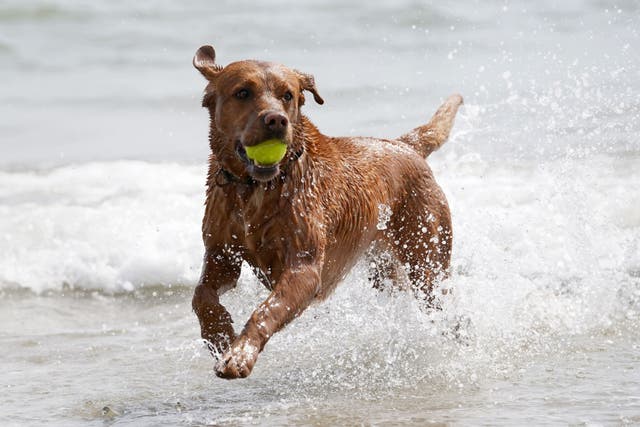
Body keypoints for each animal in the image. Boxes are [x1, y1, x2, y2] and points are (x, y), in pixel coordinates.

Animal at [189, 46, 460, 382]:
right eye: (243, 92)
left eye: (288, 95)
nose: (276, 120)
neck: (255, 189)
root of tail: (403, 145)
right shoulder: (221, 255)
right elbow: (201, 296)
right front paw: (219, 334)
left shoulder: (304, 267)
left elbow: (267, 309)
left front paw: (240, 353)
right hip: (383, 266)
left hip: (427, 259)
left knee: (443, 305)